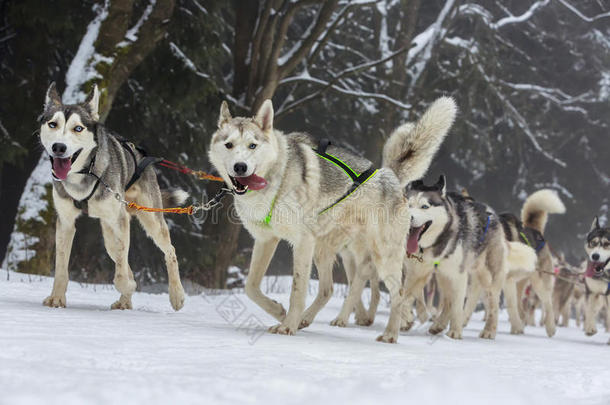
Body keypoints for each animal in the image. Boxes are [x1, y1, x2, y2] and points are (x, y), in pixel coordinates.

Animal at [38, 82, 185, 310]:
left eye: (78, 128)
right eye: (53, 124)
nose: (59, 147)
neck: (86, 173)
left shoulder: (120, 220)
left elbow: (121, 275)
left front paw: (128, 285)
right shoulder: (65, 222)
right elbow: (61, 267)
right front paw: (57, 298)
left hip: (149, 220)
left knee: (169, 251)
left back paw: (176, 295)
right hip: (109, 236)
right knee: (122, 259)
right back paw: (125, 301)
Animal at [207, 98, 454, 340]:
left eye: (252, 145)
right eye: (229, 145)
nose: (240, 167)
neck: (277, 178)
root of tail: (388, 174)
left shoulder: (302, 242)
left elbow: (297, 291)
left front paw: (287, 326)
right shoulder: (266, 240)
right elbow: (251, 287)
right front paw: (280, 313)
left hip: (381, 257)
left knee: (399, 293)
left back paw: (390, 335)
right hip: (324, 250)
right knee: (328, 289)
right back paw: (305, 319)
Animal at [402, 176, 536, 338]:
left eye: (425, 206)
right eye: (409, 205)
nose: (408, 218)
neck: (439, 241)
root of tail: (494, 215)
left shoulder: (458, 275)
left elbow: (457, 306)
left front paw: (454, 332)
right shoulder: (417, 272)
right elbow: (405, 297)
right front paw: (405, 320)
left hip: (489, 277)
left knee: (493, 304)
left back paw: (489, 330)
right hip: (444, 276)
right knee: (448, 301)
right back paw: (439, 325)